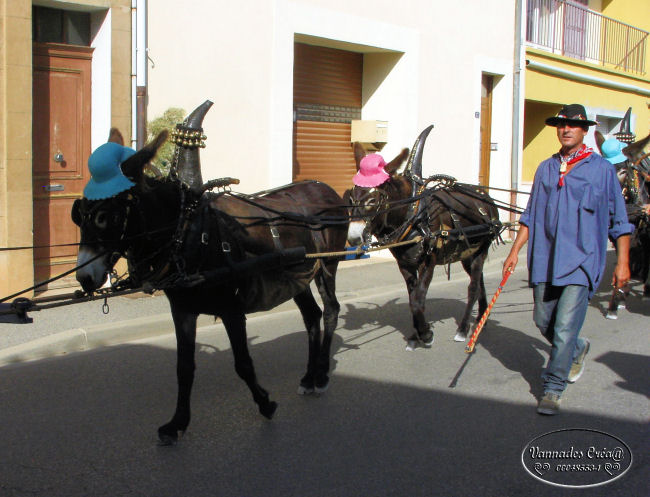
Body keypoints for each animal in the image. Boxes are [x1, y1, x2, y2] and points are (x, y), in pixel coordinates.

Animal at [72, 101, 350, 442]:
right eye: (78, 212)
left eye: (104, 216)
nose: (85, 277)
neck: (187, 233)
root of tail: (326, 190)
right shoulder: (183, 310)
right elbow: (184, 368)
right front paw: (177, 422)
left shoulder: (232, 310)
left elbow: (242, 363)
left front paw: (265, 403)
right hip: (298, 277)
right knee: (311, 316)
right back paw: (309, 377)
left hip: (328, 265)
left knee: (331, 310)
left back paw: (321, 375)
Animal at [346, 126, 498, 346]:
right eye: (351, 197)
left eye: (372, 200)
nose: (353, 238)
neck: (414, 215)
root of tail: (486, 198)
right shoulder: (405, 264)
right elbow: (412, 299)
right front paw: (417, 332)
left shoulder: (429, 261)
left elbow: (419, 299)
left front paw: (425, 334)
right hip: (467, 254)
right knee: (480, 282)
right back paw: (481, 319)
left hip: (481, 250)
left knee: (473, 288)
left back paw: (463, 329)